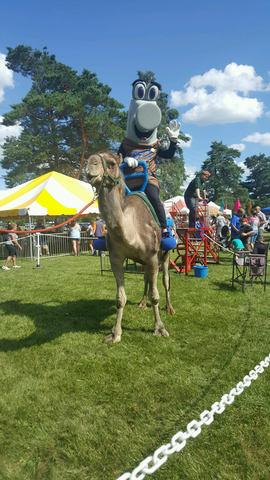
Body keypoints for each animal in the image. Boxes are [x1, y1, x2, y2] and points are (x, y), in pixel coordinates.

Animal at [86, 152, 175, 344]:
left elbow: (155, 296)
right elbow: (120, 298)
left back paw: (170, 308)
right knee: (147, 278)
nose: (90, 165)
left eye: (112, 163)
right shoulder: (116, 259)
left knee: (165, 281)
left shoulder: (152, 257)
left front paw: (160, 328)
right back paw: (141, 303)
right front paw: (115, 333)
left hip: (164, 255)